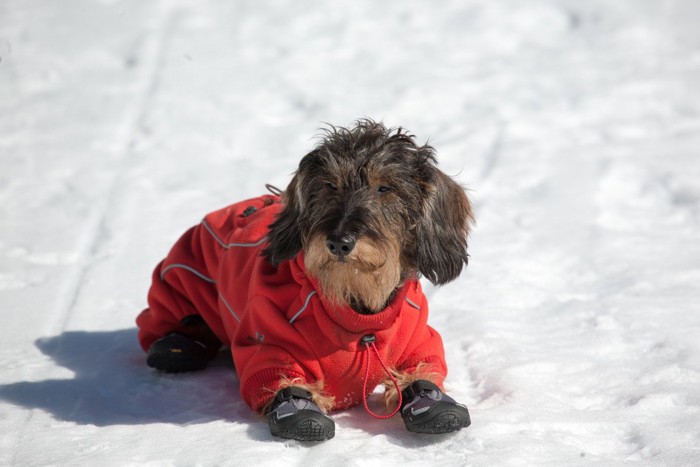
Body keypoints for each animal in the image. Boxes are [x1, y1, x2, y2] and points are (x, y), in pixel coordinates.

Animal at [135, 120, 476, 442]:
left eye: (385, 188)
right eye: (330, 185)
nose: (339, 242)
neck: (355, 308)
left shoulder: (417, 333)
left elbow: (424, 366)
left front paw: (429, 398)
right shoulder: (271, 337)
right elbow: (278, 375)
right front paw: (298, 407)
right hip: (185, 273)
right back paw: (176, 346)